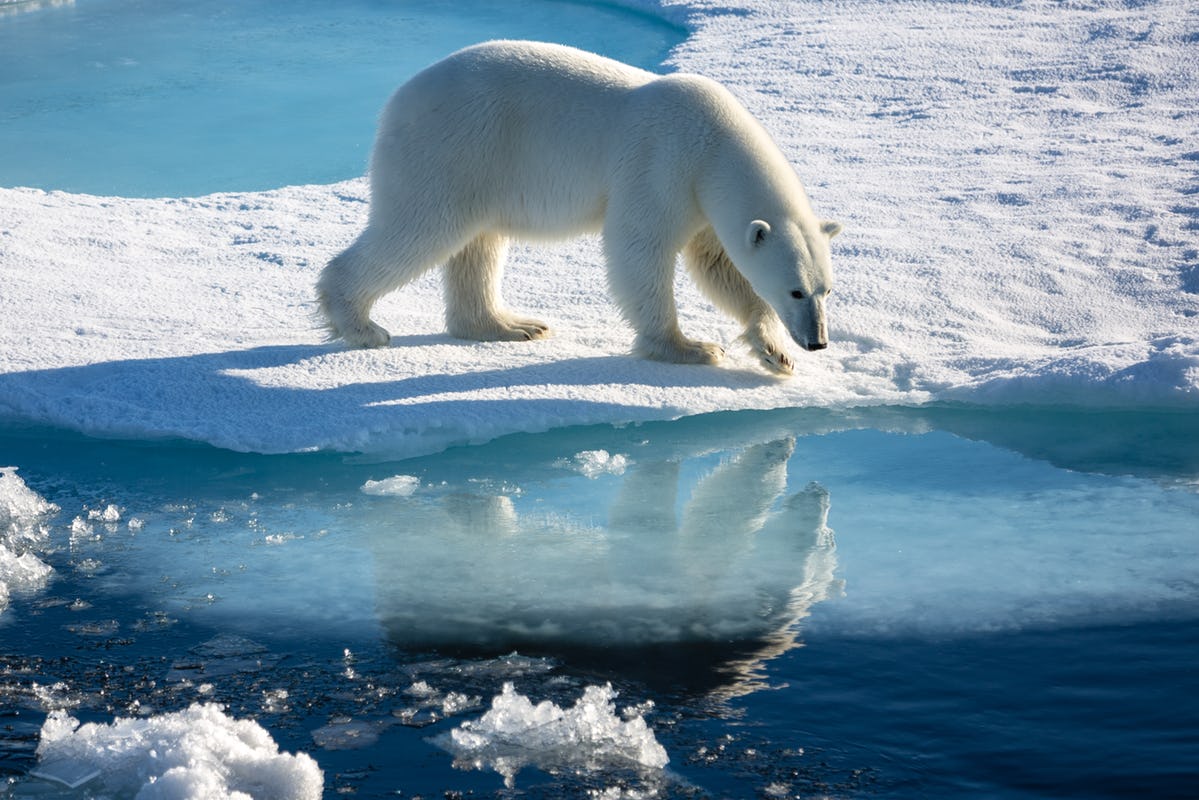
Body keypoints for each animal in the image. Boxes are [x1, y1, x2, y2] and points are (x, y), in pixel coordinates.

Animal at [321, 39, 844, 371]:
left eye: (827, 290)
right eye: (796, 292)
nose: (817, 342)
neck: (714, 143)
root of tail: (398, 100)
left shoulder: (704, 203)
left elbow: (719, 266)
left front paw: (775, 352)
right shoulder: (664, 165)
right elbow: (638, 248)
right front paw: (690, 348)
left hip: (482, 168)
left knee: (478, 243)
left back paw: (511, 325)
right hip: (454, 148)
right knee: (420, 228)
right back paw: (361, 325)